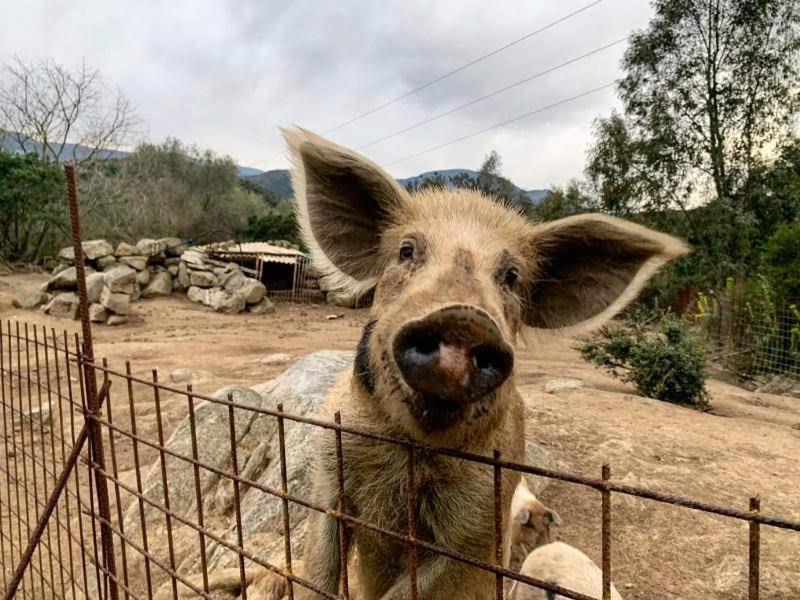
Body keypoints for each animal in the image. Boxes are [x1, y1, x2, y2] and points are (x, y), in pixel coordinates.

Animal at [282, 127, 688, 600]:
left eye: (511, 276)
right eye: (406, 251)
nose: (463, 317)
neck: (407, 449)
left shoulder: (477, 526)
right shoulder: (327, 472)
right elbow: (319, 565)